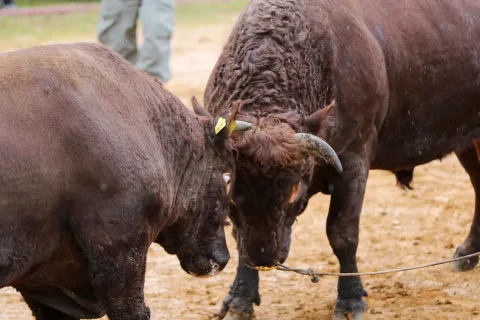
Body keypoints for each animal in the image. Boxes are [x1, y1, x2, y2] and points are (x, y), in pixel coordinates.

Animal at [202, 0, 480, 318]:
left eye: (294, 192)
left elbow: (342, 235)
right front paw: (240, 297)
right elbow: (239, 239)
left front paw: (350, 299)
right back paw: (469, 252)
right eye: (233, 194)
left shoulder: (353, 163)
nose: (264, 257)